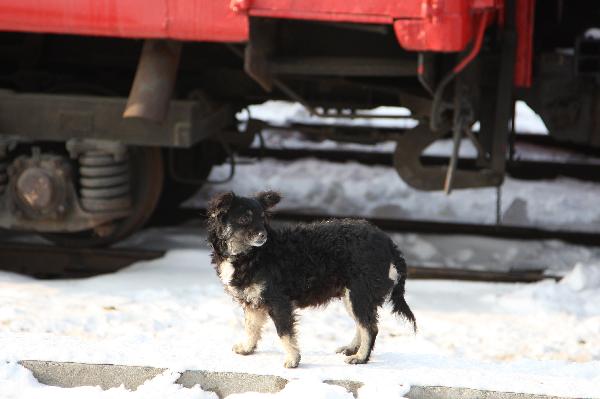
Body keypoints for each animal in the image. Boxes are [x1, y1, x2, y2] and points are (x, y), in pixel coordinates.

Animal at [207, 191, 418, 368]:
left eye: (262, 219)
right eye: (244, 219)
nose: (263, 235)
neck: (251, 255)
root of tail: (388, 242)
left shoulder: (278, 301)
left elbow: (284, 332)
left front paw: (293, 359)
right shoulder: (252, 301)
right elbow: (251, 328)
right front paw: (247, 348)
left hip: (359, 293)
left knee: (370, 327)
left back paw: (360, 357)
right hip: (352, 295)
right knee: (363, 324)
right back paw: (352, 349)